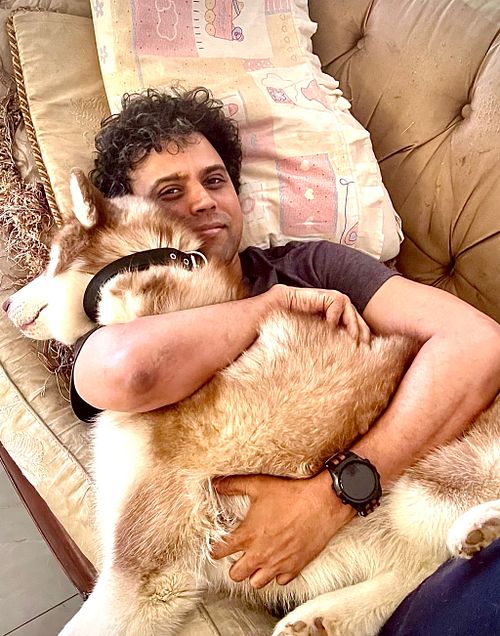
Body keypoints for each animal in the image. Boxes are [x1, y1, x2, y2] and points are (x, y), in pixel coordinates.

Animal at [4, 169, 499, 636]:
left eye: (50, 261)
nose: (6, 304)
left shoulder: (149, 563)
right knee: (423, 568)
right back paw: (328, 616)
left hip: (434, 482)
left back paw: (480, 526)